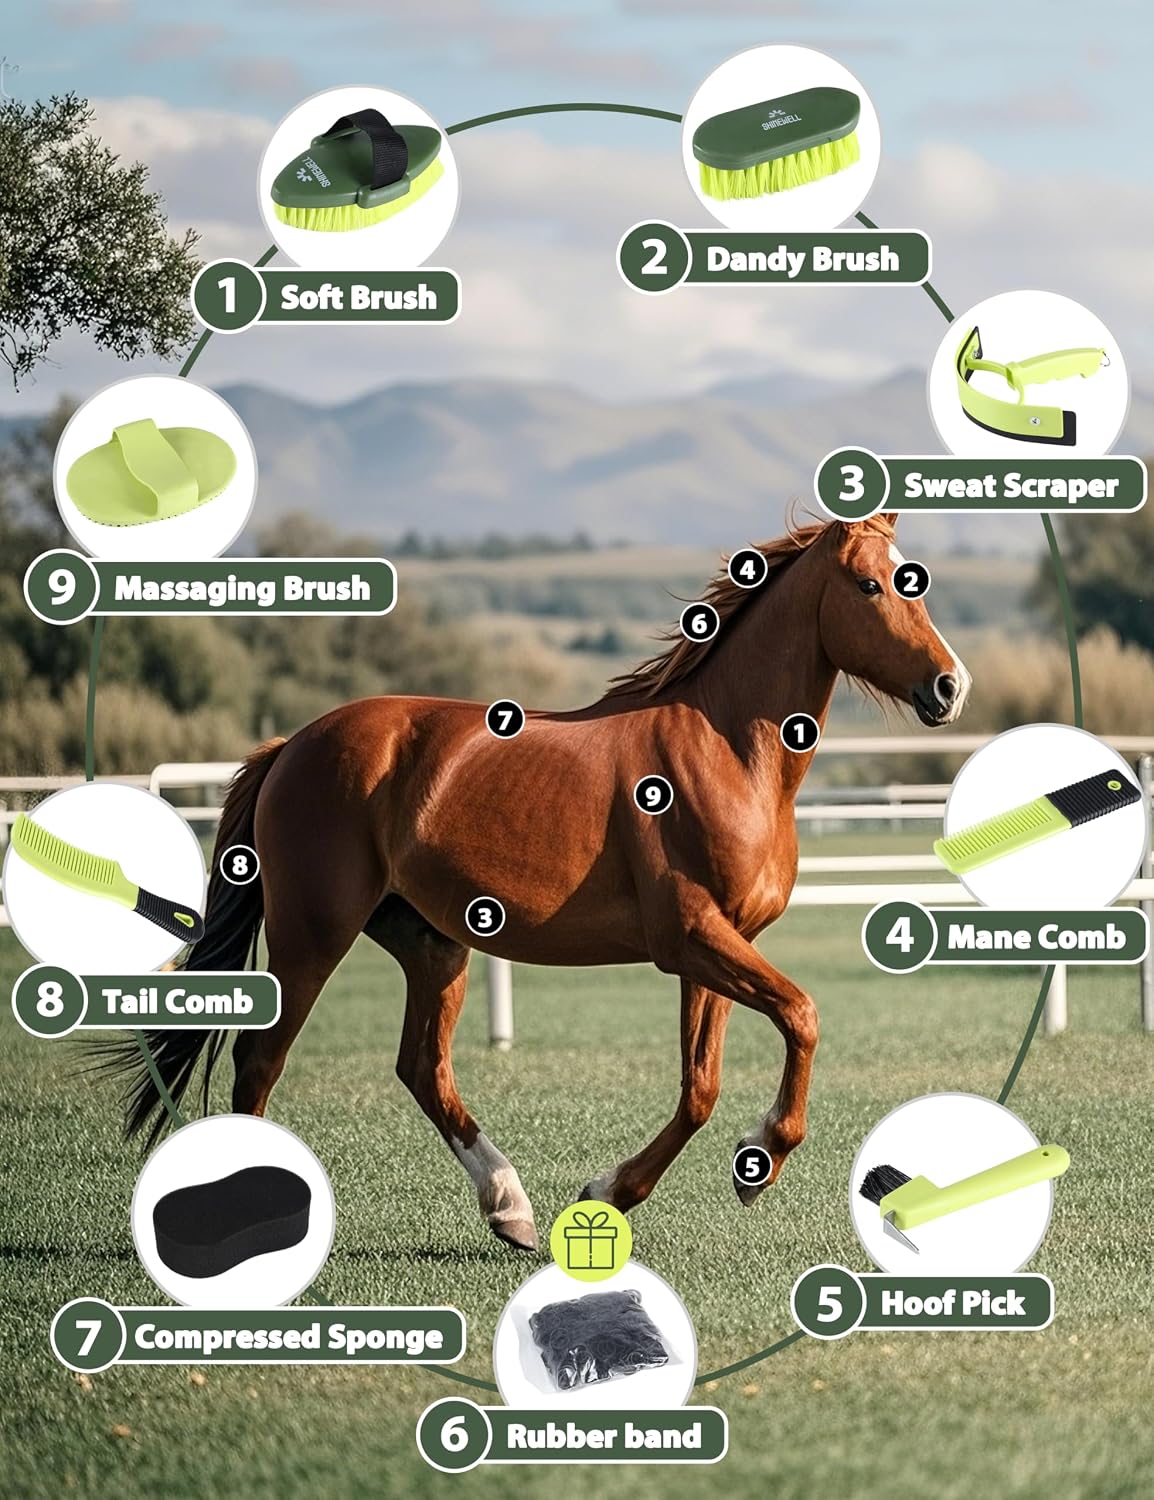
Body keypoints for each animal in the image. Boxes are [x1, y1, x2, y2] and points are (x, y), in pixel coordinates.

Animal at [106, 513, 970, 1252]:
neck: (727, 751)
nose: (949, 687)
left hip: (432, 941)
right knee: (262, 1061)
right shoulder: (692, 938)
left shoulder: (719, 947)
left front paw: (612, 1192)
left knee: (422, 1069)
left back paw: (510, 1208)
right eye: (871, 585)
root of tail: (292, 746)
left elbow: (701, 1086)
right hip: (312, 935)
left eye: (913, 581)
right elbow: (802, 1016)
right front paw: (757, 1162)